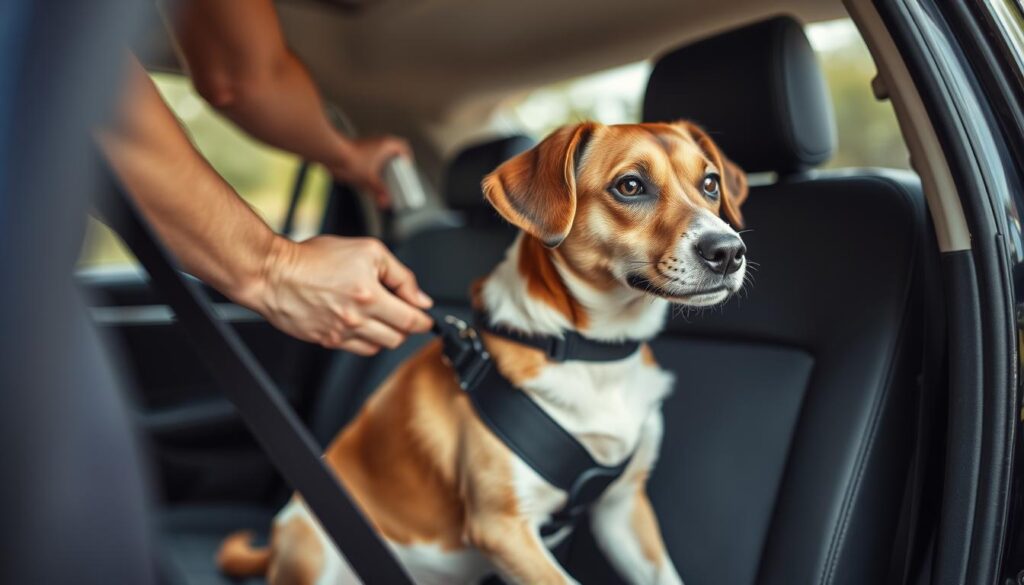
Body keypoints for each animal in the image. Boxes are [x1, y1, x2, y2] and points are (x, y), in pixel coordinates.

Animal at [216, 120, 749, 585]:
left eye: (710, 183)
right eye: (631, 185)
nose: (728, 250)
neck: (591, 353)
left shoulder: (623, 508)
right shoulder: (504, 527)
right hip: (317, 550)